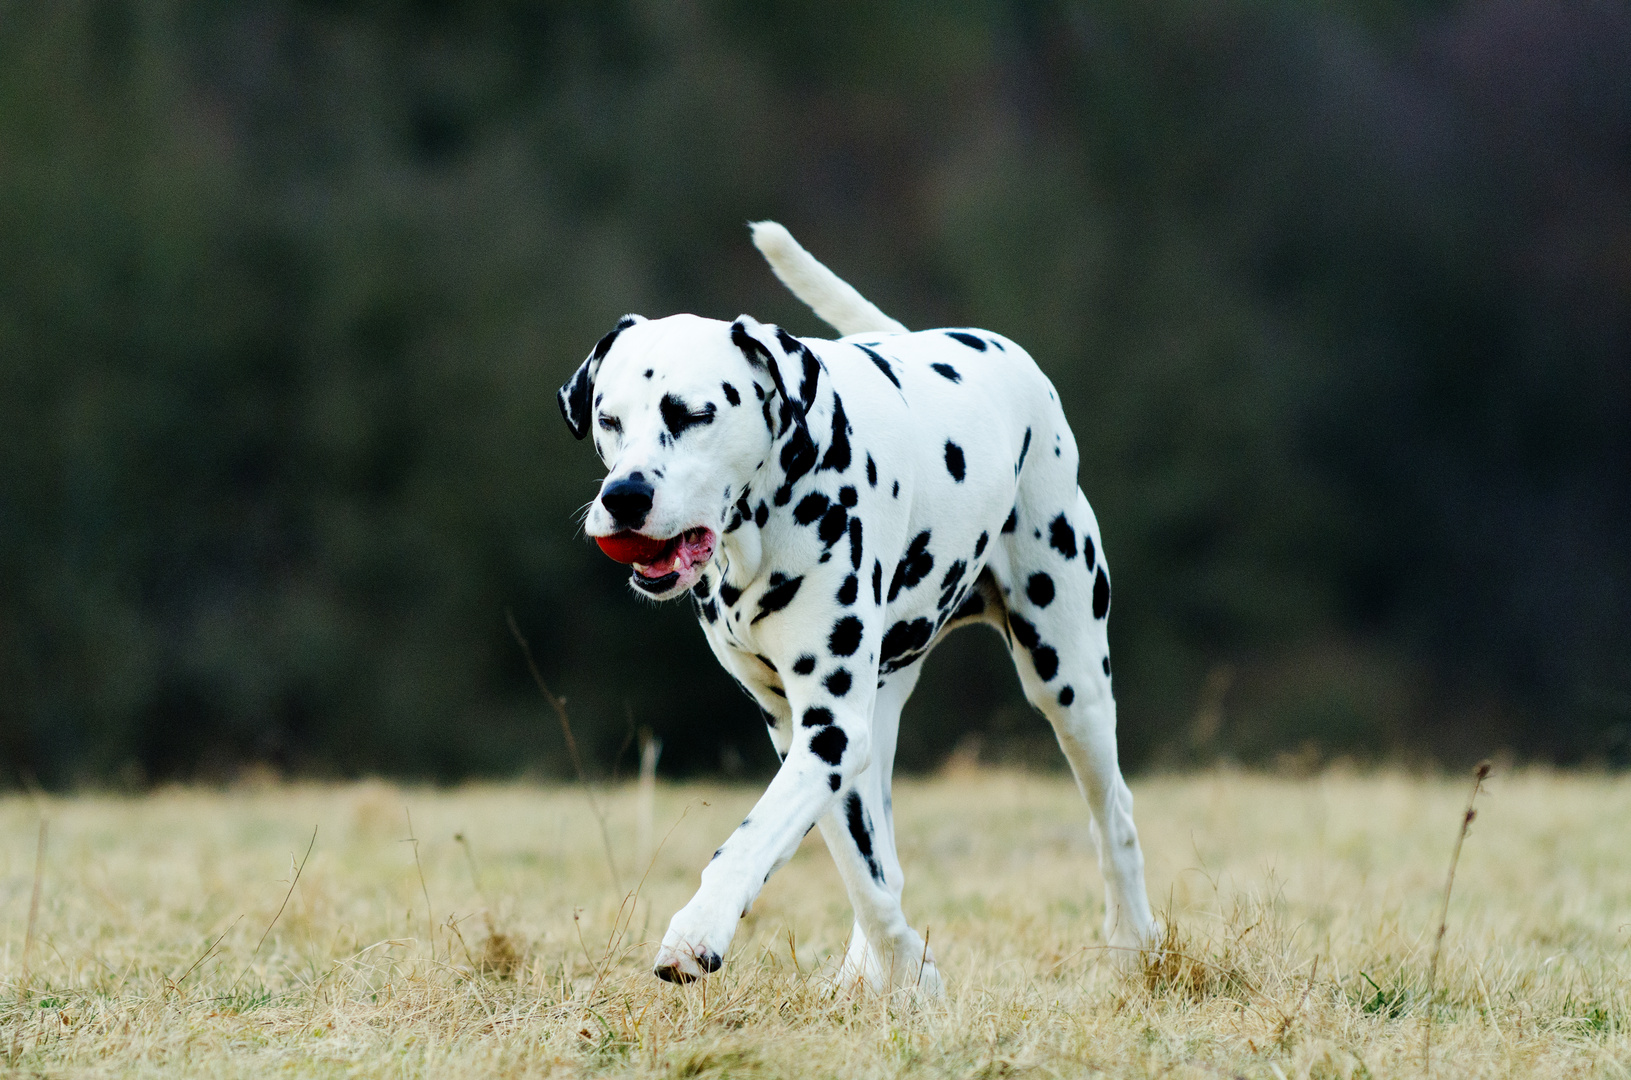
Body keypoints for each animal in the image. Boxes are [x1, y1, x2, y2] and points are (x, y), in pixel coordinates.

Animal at [561, 221, 1161, 998]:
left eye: (693, 415)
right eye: (608, 419)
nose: (624, 497)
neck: (758, 534)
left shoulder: (833, 729)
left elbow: (749, 843)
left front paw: (696, 933)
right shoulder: (805, 729)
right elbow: (861, 869)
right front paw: (906, 971)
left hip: (1069, 679)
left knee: (1113, 815)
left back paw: (1133, 944)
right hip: (886, 708)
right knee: (885, 854)